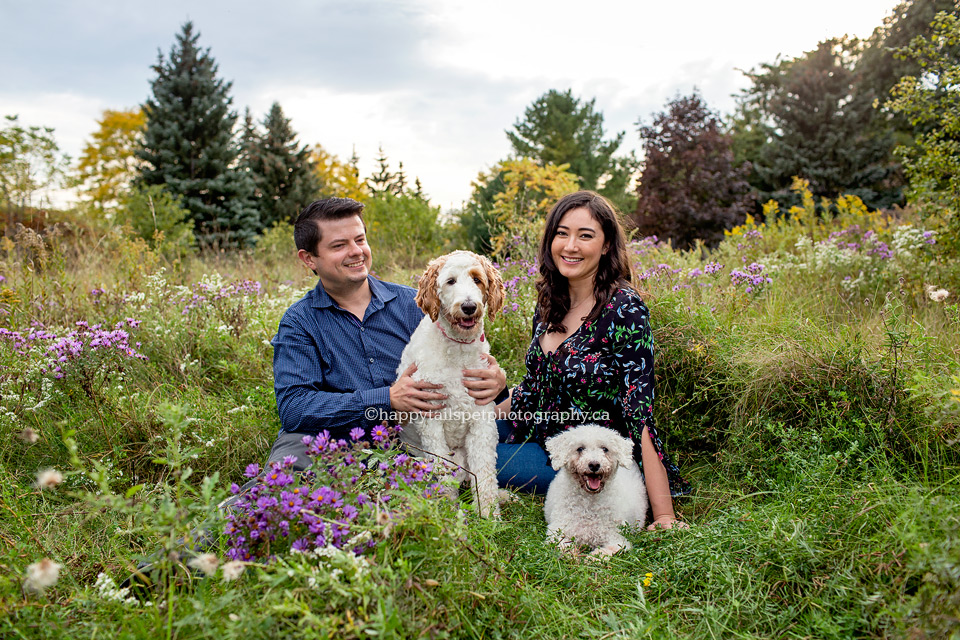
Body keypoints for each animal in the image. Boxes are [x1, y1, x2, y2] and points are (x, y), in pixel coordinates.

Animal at [396, 251, 506, 520]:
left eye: (477, 279)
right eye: (450, 281)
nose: (468, 307)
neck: (458, 349)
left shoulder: (482, 420)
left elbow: (485, 472)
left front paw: (490, 514)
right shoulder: (430, 419)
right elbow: (442, 469)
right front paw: (446, 508)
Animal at [544, 424, 648, 556]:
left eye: (604, 449)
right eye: (580, 448)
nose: (594, 465)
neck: (589, 503)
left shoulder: (618, 539)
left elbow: (606, 551)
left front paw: (592, 557)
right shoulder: (556, 532)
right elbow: (564, 546)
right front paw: (574, 555)